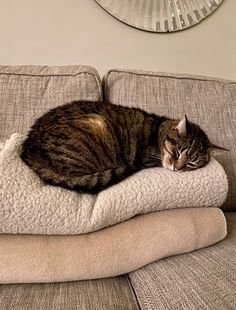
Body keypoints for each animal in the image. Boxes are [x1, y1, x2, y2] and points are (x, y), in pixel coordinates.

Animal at [20, 100, 227, 193]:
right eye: (177, 152)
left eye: (191, 164)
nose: (178, 168)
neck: (159, 131)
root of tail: (29, 148)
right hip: (96, 125)